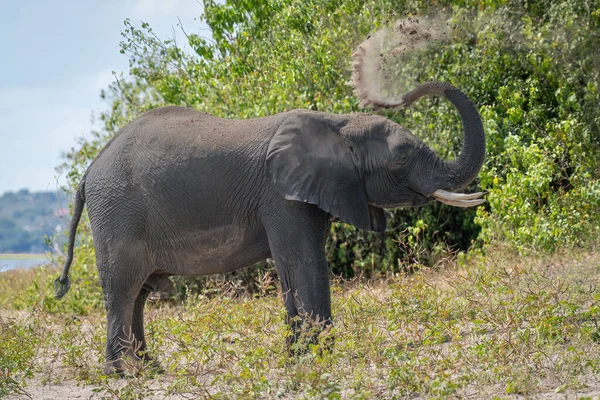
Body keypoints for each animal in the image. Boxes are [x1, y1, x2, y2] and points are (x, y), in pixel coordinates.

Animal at [54, 79, 486, 374]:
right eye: (402, 158)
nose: (406, 95)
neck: (338, 122)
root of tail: (89, 170)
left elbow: (295, 268)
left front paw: (298, 359)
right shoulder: (281, 196)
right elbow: (305, 264)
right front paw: (320, 360)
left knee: (140, 294)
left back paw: (151, 369)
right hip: (117, 212)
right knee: (123, 290)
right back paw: (123, 376)